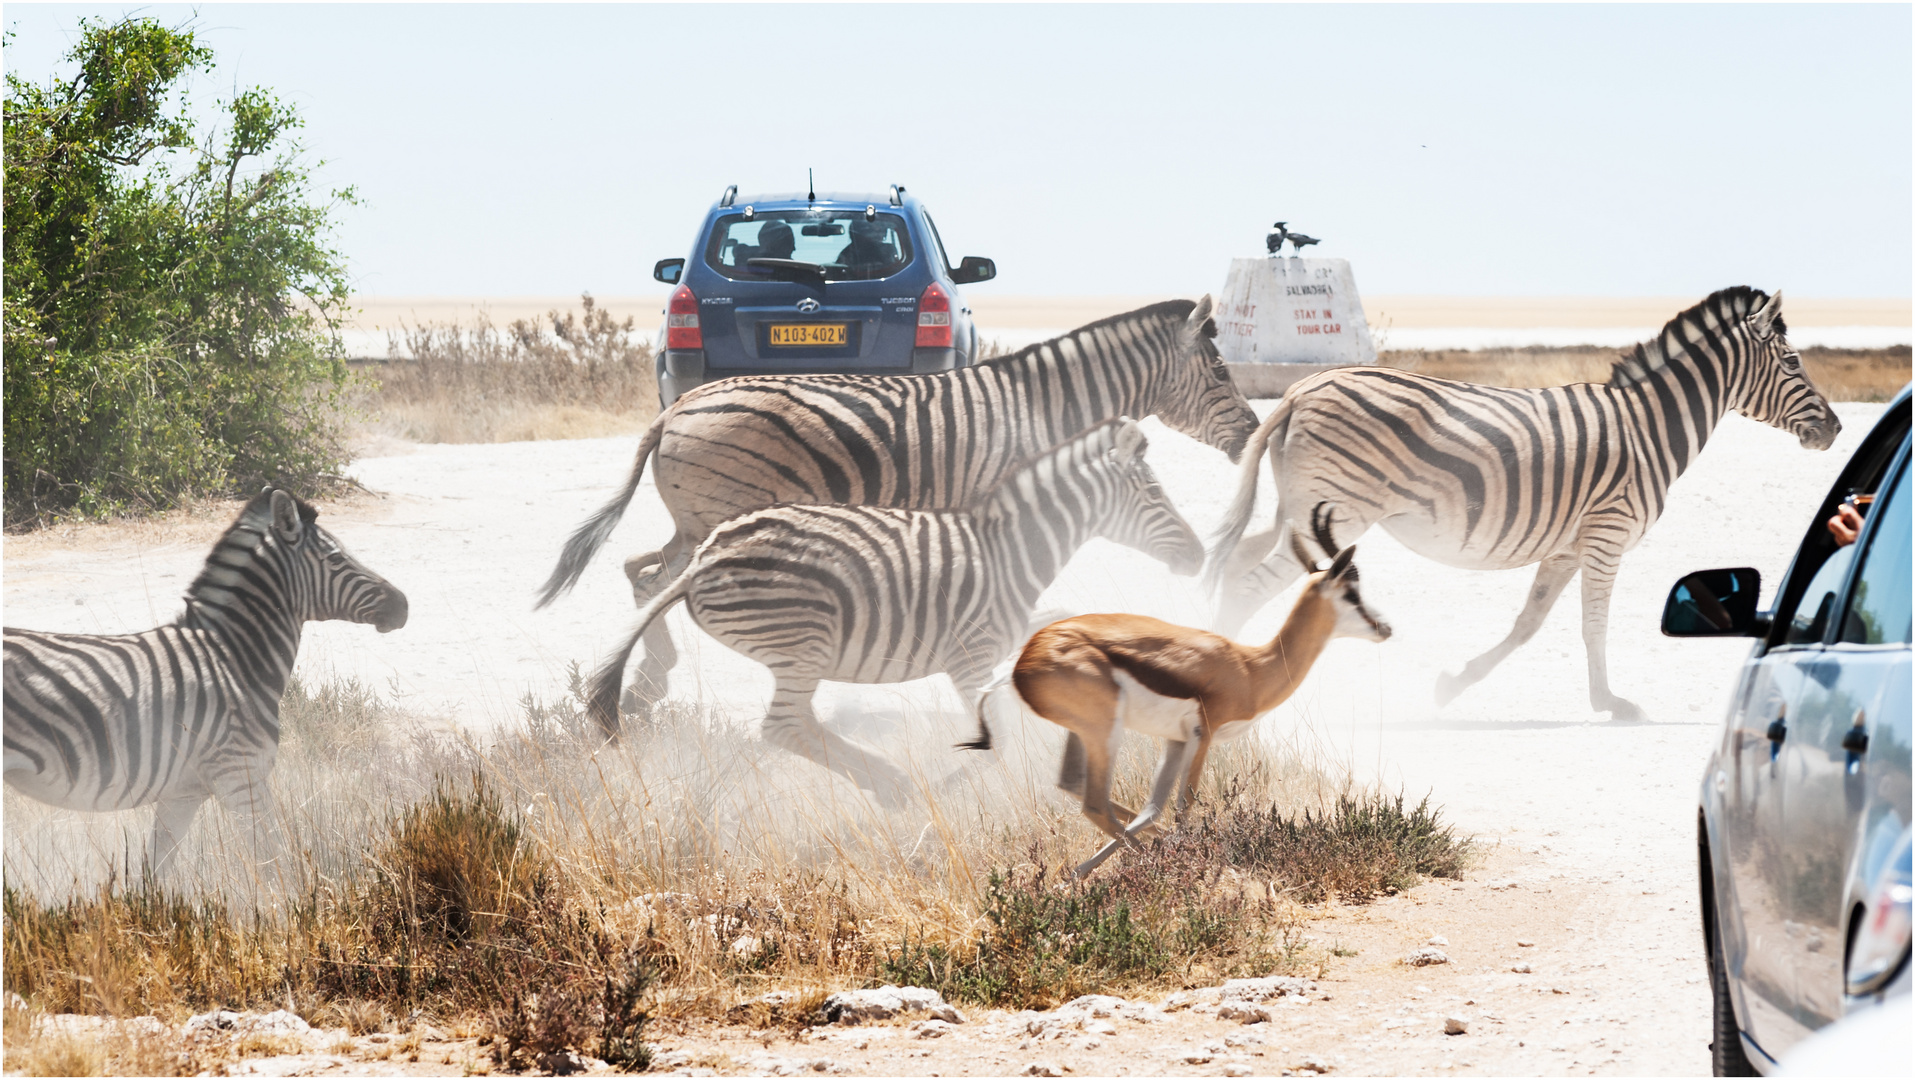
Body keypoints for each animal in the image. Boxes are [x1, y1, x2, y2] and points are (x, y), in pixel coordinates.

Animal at [2, 484, 407, 873]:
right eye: (337, 558)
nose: (402, 604)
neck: (233, 657)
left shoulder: (184, 793)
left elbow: (156, 873)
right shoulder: (239, 775)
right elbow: (275, 866)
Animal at [540, 296, 1256, 708]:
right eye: (1222, 373)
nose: (1253, 432)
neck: (1046, 412)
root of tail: (678, 407)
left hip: (697, 522)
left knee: (640, 570)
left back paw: (646, 683)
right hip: (717, 518)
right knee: (655, 578)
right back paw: (652, 681)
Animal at [589, 417, 1202, 804]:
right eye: (1153, 495)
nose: (1197, 554)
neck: (1009, 551)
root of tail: (707, 557)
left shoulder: (1001, 637)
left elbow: (1056, 627)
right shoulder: (970, 654)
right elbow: (997, 735)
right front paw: (955, 796)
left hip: (797, 652)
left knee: (800, 725)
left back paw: (887, 784)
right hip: (804, 640)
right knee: (783, 728)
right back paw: (895, 785)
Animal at [972, 509, 1394, 877]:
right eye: (1351, 592)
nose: (1385, 627)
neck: (1250, 668)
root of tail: (1024, 658)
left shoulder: (1174, 741)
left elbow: (1154, 808)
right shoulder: (1202, 734)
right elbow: (1182, 804)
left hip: (1082, 731)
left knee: (1075, 786)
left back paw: (1091, 869)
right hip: (1105, 730)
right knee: (1094, 804)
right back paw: (1133, 864)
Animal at [1210, 291, 1838, 720]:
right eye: (1792, 363)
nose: (1833, 429)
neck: (1649, 428)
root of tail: (1299, 389)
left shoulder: (1569, 546)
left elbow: (1528, 624)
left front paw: (1454, 684)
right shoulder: (1607, 534)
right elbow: (1593, 625)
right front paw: (1611, 702)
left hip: (1294, 511)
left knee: (1234, 568)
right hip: (1337, 511)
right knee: (1248, 587)